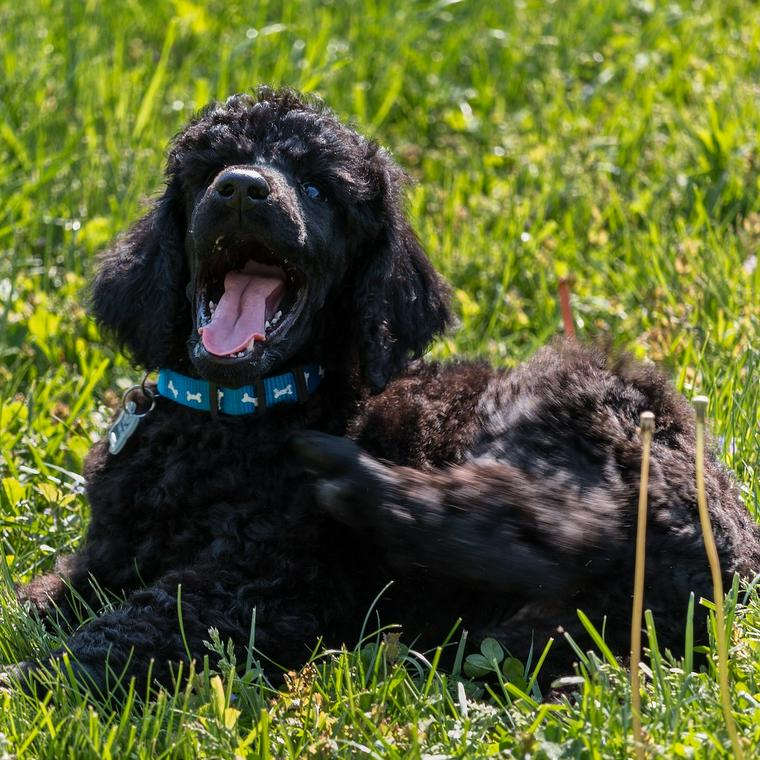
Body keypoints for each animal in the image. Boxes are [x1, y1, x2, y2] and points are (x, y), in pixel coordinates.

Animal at [7, 87, 760, 696]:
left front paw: (30, 680)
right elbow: (45, 598)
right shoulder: (109, 555)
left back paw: (363, 491)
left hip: (556, 412)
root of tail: (732, 548)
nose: (243, 189)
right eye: (206, 175)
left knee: (544, 530)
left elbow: (139, 624)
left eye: (318, 191)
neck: (229, 411)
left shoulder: (261, 582)